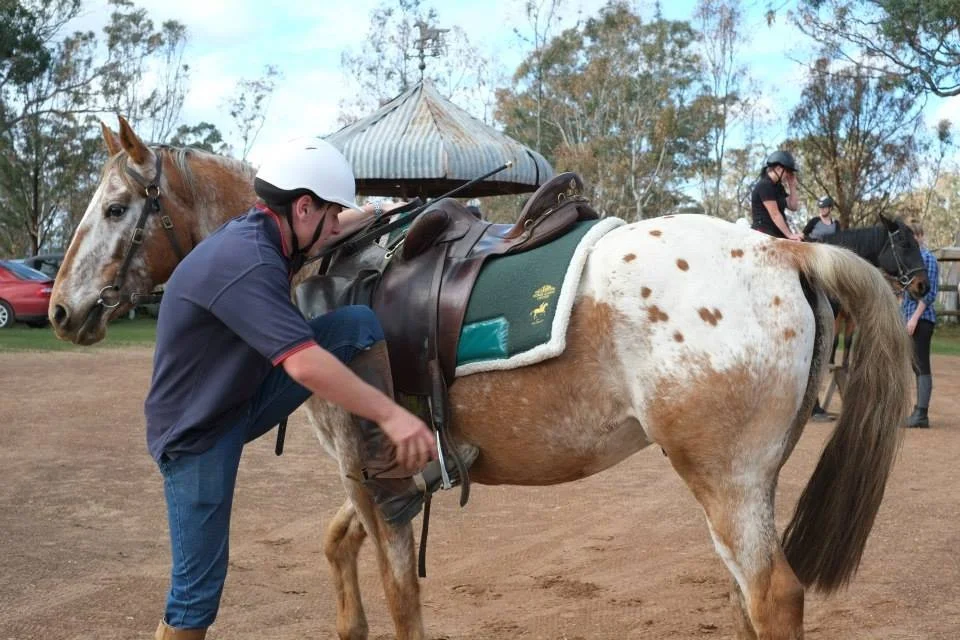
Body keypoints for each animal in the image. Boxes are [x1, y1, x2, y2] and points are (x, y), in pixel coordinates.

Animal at [50, 117, 926, 639]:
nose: (61, 309)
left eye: (118, 207)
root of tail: (784, 252)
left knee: (772, 596)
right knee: (749, 598)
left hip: (724, 478)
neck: (318, 270)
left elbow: (399, 598)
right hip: (743, 486)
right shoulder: (385, 472)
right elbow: (338, 548)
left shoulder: (367, 473)